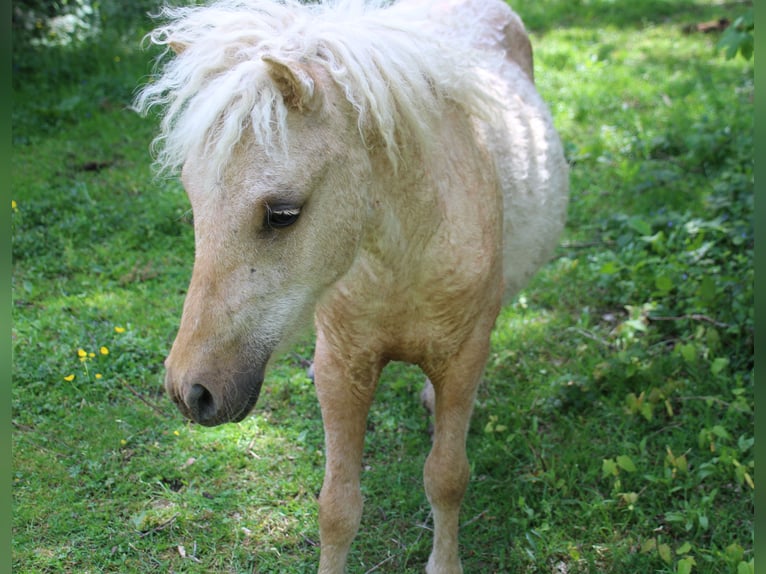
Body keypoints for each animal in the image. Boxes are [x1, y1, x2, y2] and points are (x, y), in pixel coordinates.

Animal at [136, 1, 568, 574]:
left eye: (283, 214)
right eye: (192, 197)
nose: (191, 393)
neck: (406, 254)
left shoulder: (463, 360)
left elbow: (447, 478)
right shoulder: (344, 370)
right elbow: (338, 507)